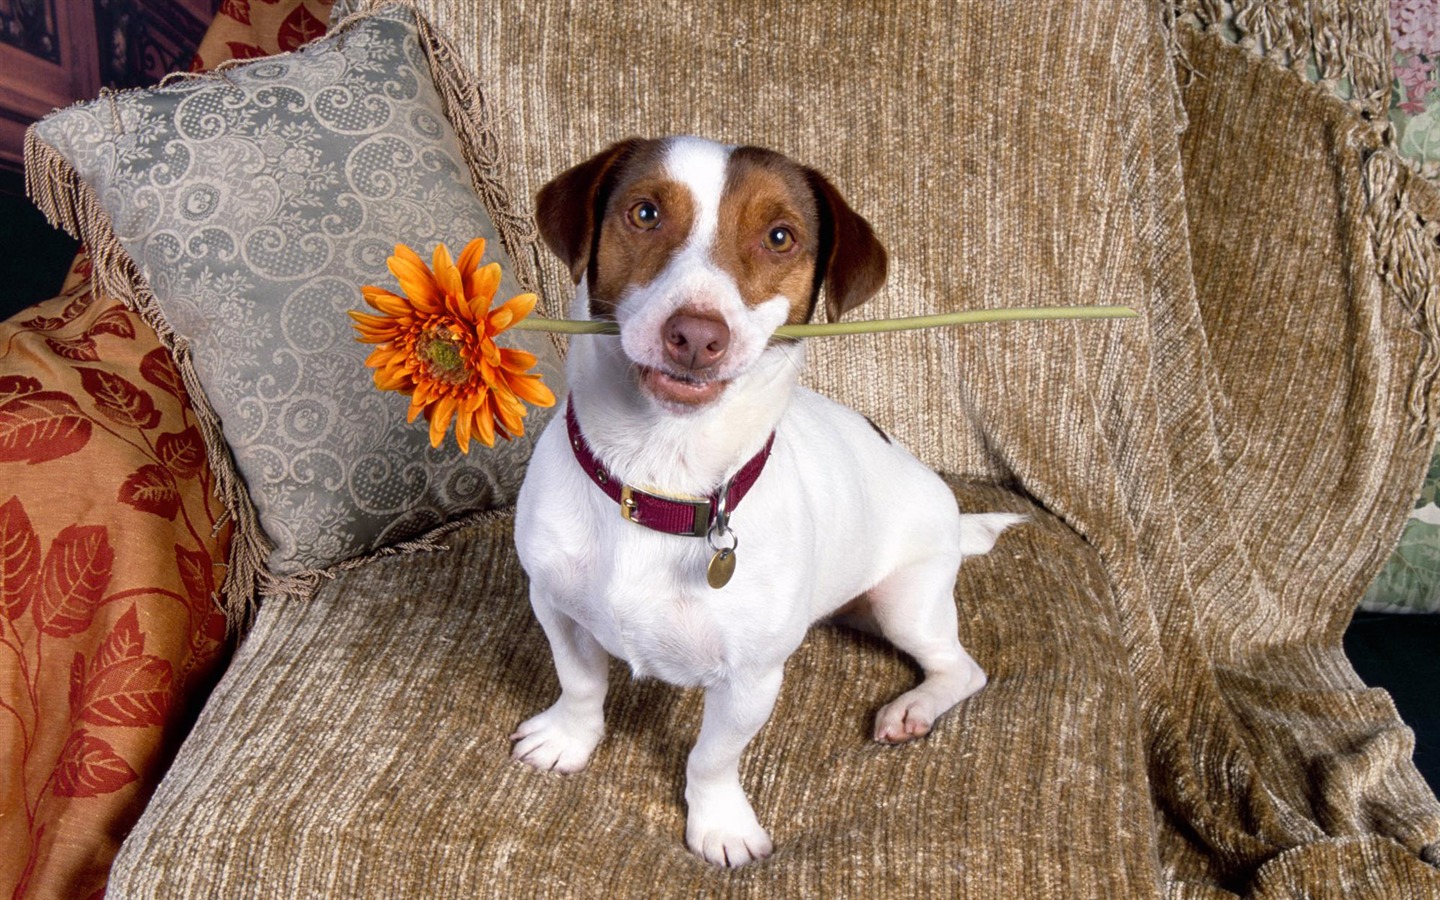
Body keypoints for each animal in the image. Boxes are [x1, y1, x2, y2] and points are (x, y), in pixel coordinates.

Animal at [512, 136, 1019, 869]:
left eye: (780, 236)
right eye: (645, 213)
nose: (696, 335)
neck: (664, 481)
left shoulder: (751, 679)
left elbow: (711, 758)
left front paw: (719, 823)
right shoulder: (555, 606)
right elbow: (581, 685)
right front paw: (568, 741)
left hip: (908, 602)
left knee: (962, 667)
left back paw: (915, 709)